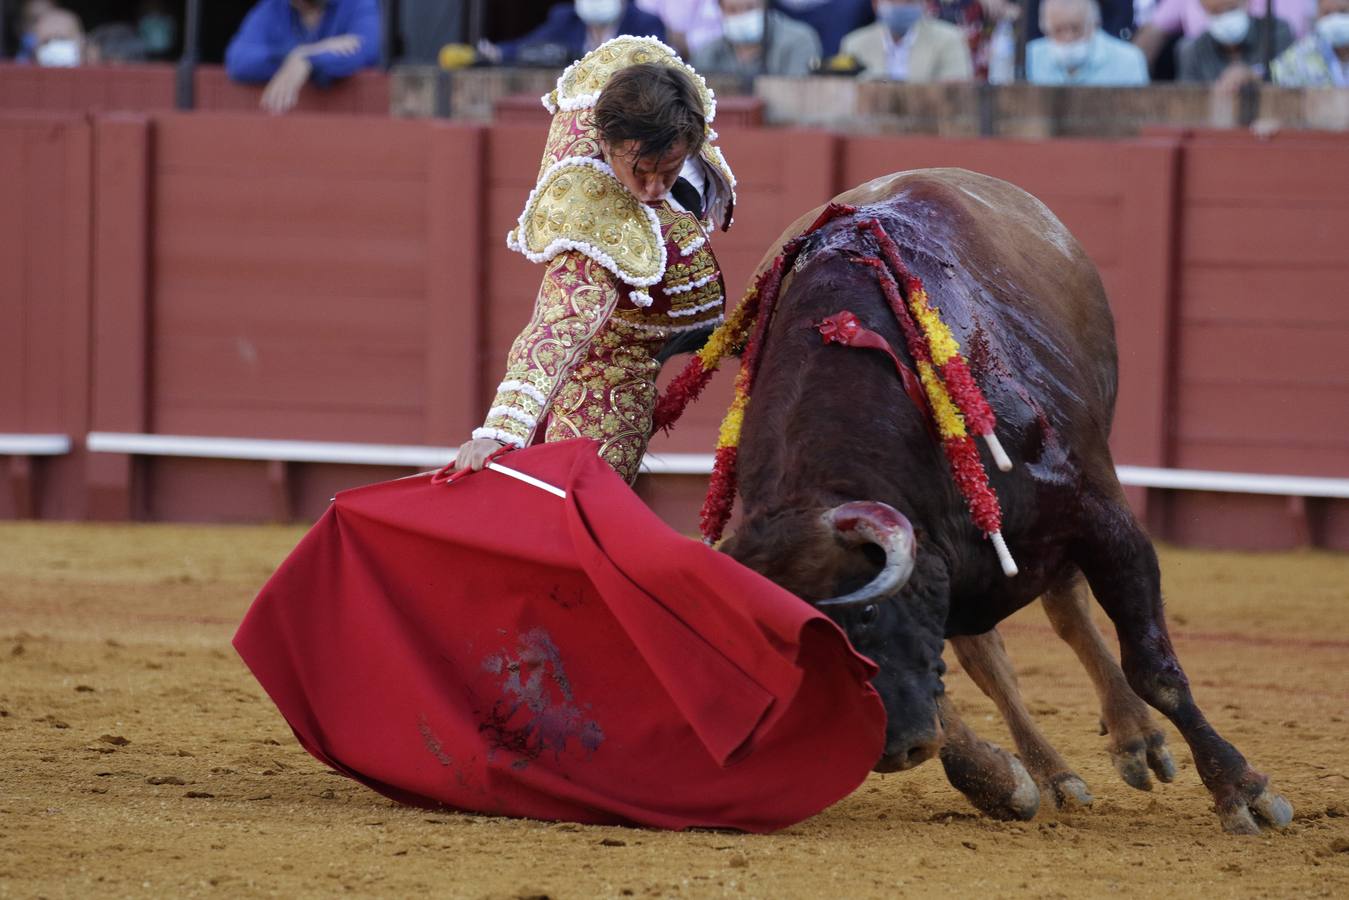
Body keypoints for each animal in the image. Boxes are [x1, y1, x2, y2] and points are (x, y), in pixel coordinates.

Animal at [717, 170, 1295, 836]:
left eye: (865, 615)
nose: (893, 750)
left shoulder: (1101, 517)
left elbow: (1154, 667)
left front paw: (1241, 789)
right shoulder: (940, 567)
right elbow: (957, 678)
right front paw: (996, 780)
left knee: (1068, 613)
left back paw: (1137, 740)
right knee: (989, 658)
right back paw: (1051, 773)